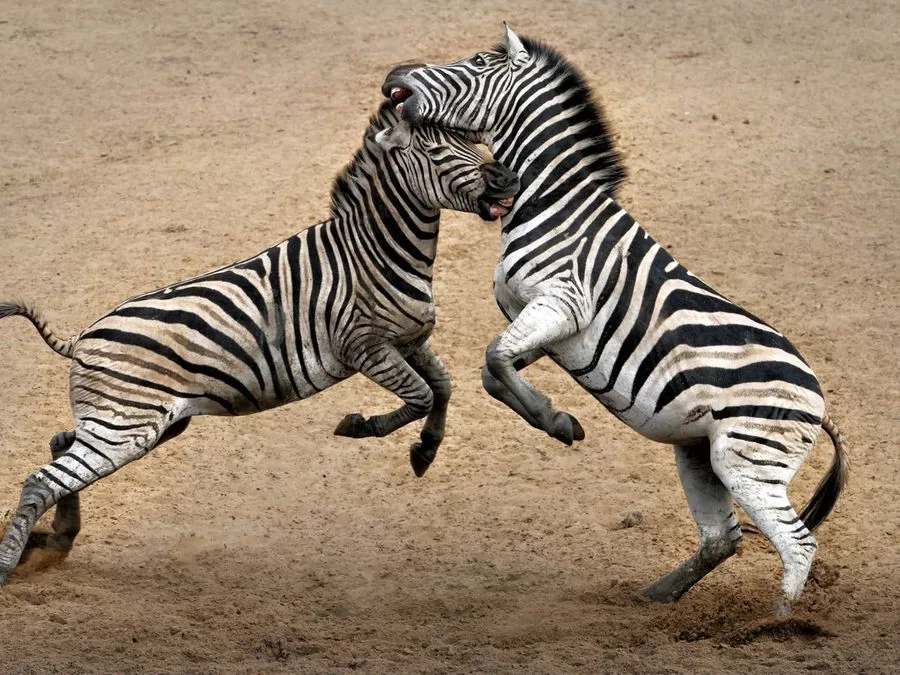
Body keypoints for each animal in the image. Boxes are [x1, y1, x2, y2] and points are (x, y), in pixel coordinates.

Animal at [0, 101, 519, 585]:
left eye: (474, 140)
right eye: (436, 152)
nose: (509, 177)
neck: (375, 252)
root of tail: (80, 338)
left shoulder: (409, 341)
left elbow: (443, 389)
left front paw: (425, 451)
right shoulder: (366, 348)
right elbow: (421, 396)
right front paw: (360, 426)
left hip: (141, 423)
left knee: (59, 446)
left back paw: (57, 540)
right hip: (125, 426)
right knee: (42, 480)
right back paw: (11, 565)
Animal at [382, 26, 847, 614]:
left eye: (480, 61)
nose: (393, 75)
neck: (554, 204)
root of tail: (820, 403)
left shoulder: (564, 302)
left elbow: (495, 357)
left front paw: (554, 420)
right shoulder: (541, 321)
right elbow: (494, 368)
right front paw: (553, 418)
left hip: (748, 458)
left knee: (796, 544)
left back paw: (775, 623)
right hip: (701, 452)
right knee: (723, 538)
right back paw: (657, 596)